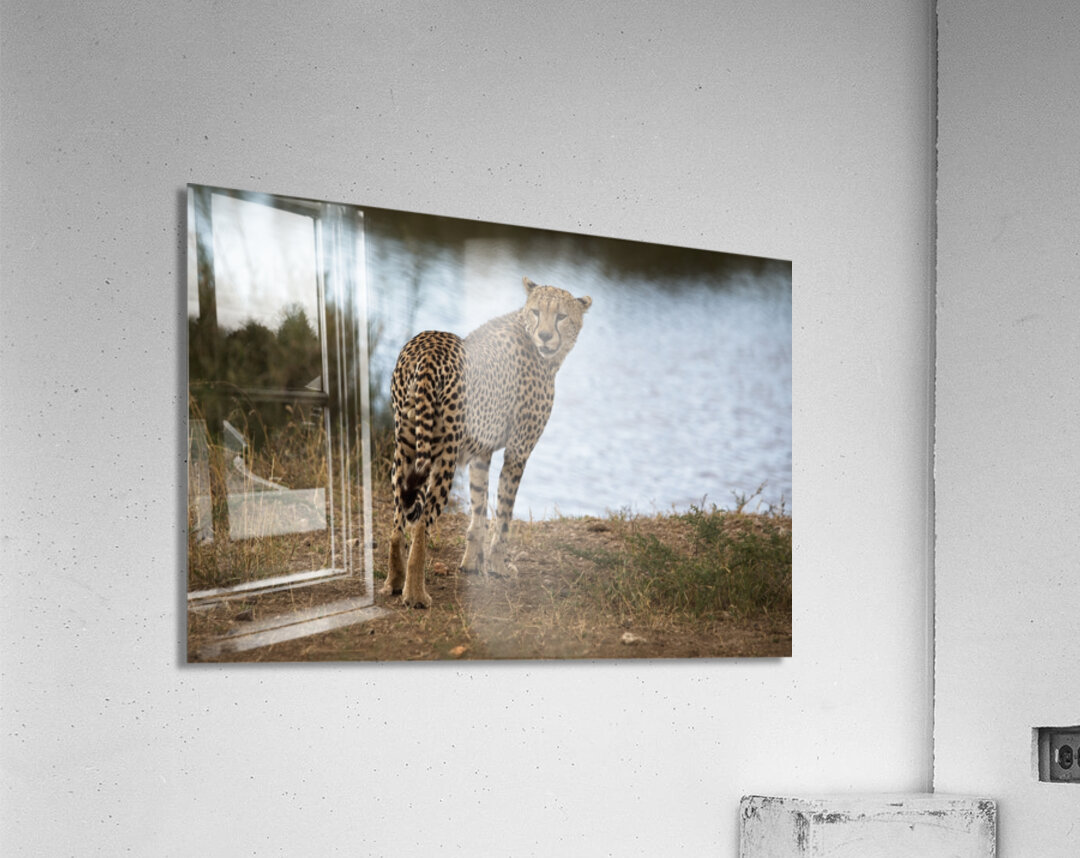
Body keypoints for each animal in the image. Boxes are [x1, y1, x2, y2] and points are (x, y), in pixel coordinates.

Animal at [380, 276, 592, 608]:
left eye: (561, 316)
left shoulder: (481, 453)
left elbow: (479, 508)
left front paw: (472, 564)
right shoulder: (518, 452)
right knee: (421, 524)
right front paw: (498, 565)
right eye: (537, 312)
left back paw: (393, 582)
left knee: (398, 520)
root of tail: (428, 345)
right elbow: (504, 512)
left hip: (405, 447)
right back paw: (415, 594)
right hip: (443, 457)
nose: (545, 336)